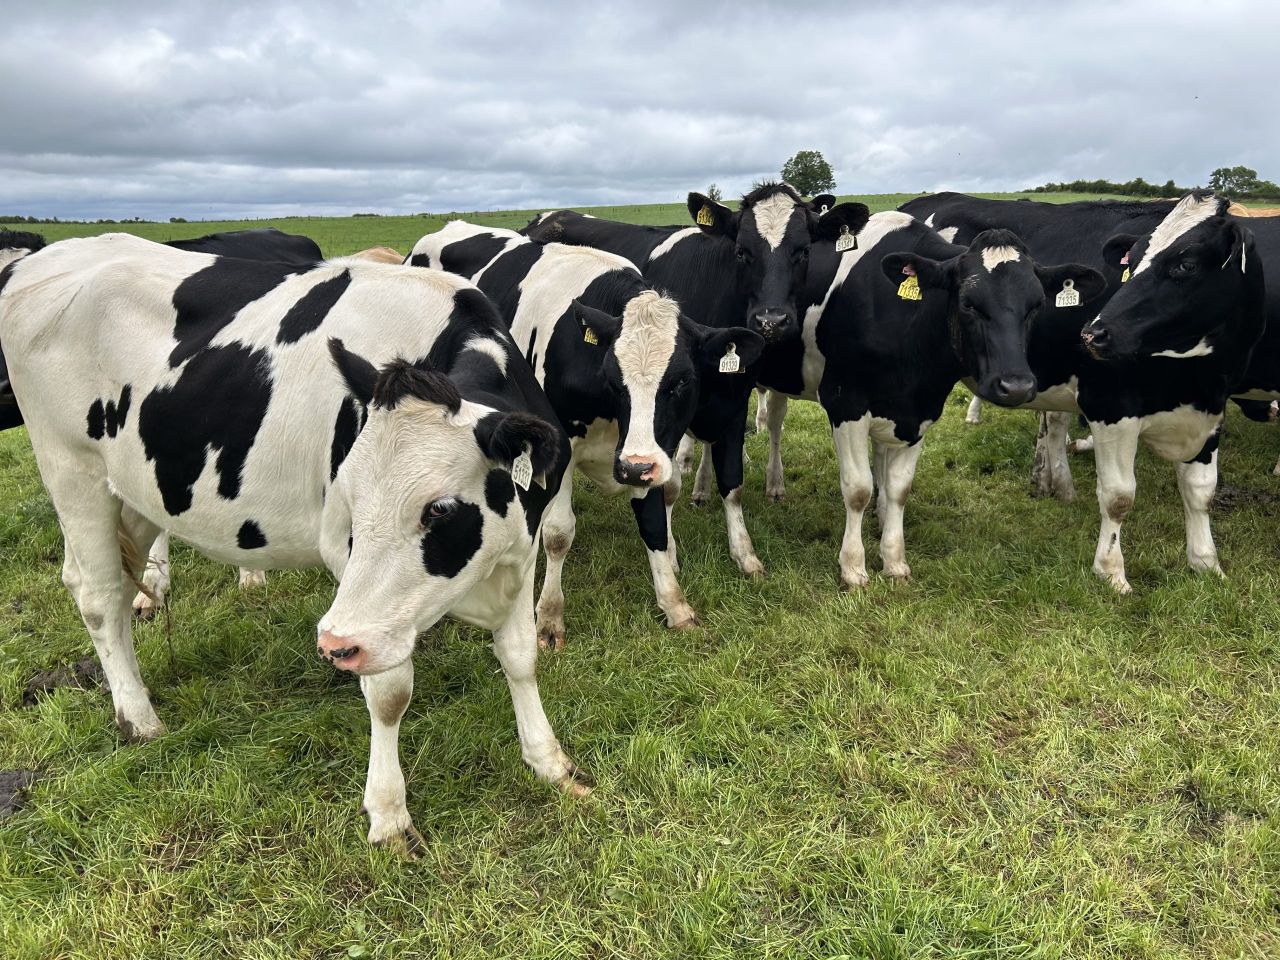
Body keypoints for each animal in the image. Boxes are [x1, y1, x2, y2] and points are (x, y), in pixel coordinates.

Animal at [0, 233, 586, 852]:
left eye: (440, 508)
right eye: (349, 498)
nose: (332, 644)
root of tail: (50, 258)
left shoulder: (519, 546)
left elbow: (519, 657)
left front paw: (549, 761)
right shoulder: (353, 582)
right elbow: (390, 691)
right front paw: (388, 814)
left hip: (134, 488)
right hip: (71, 468)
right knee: (99, 595)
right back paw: (138, 717)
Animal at [409, 220, 764, 646]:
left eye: (683, 381)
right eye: (612, 378)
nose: (633, 469)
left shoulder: (643, 454)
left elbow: (654, 524)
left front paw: (674, 604)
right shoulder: (563, 450)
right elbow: (559, 533)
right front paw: (549, 618)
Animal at [524, 183, 869, 578]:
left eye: (804, 251)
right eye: (742, 251)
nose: (771, 321)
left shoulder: (733, 397)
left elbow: (731, 479)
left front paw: (742, 550)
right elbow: (668, 484)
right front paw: (671, 552)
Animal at [750, 212, 1104, 587]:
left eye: (1036, 305)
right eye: (967, 303)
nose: (1017, 386)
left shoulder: (920, 410)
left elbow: (899, 488)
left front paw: (894, 561)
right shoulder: (844, 403)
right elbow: (857, 489)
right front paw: (853, 567)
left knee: (778, 421)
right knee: (773, 425)